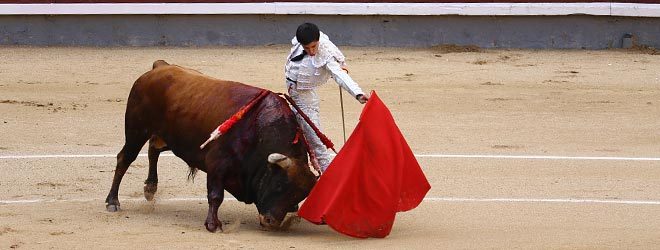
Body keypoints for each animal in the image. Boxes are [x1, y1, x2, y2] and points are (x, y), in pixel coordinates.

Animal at [105, 60, 318, 232]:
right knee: (125, 158)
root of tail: (159, 67)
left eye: (300, 196)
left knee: (153, 149)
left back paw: (150, 188)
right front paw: (213, 225)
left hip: (172, 139)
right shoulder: (217, 164)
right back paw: (112, 201)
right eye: (279, 184)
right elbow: (216, 195)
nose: (270, 221)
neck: (258, 132)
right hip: (136, 131)